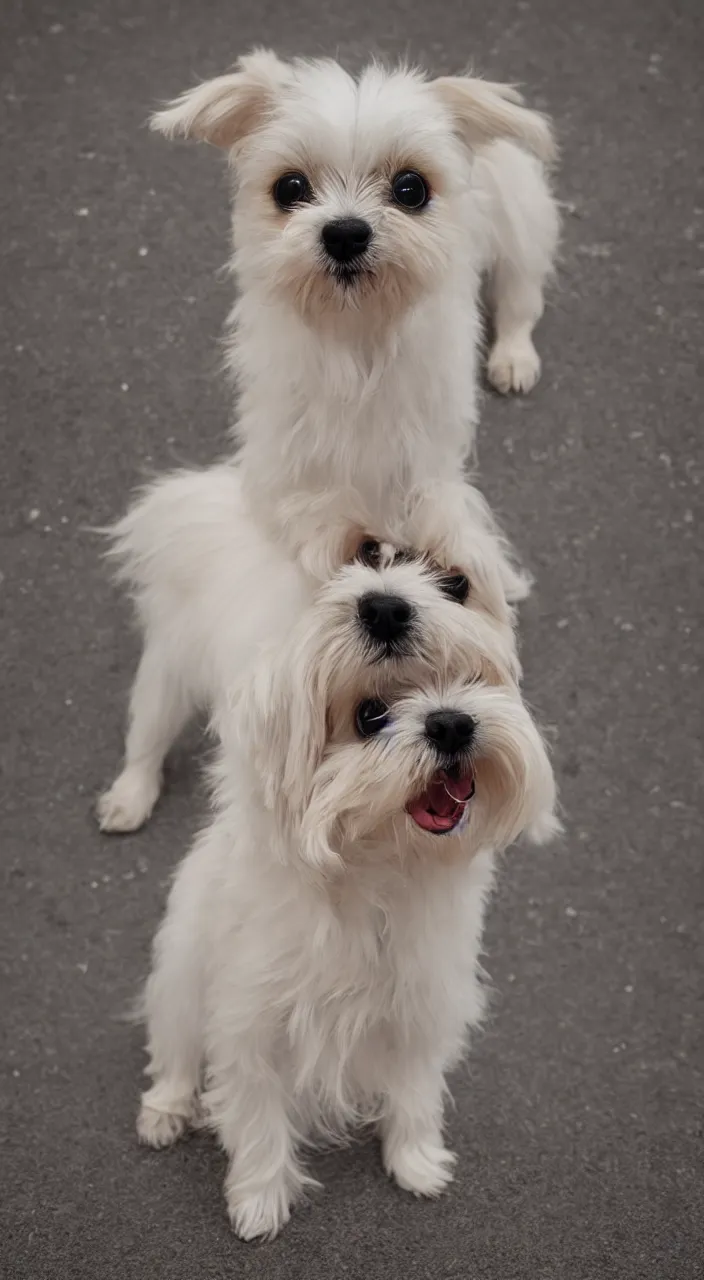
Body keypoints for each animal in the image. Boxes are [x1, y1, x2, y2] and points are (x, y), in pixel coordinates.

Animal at [136, 540, 558, 1239]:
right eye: (370, 716)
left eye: (466, 681)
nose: (451, 724)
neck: (377, 873)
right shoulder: (251, 1021)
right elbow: (255, 1114)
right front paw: (258, 1202)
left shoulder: (421, 1006)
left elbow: (415, 1093)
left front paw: (416, 1163)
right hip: (180, 978)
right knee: (173, 1051)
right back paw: (164, 1112)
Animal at [151, 49, 560, 586]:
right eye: (290, 187)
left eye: (410, 188)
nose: (344, 233)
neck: (356, 334)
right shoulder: (285, 453)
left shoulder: (421, 454)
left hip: (520, 224)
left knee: (520, 296)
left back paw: (514, 356)